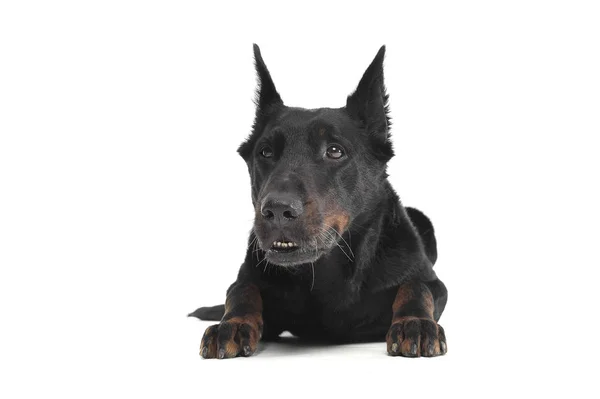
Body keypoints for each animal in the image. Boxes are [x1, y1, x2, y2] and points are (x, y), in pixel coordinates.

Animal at [190, 43, 448, 360]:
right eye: (265, 152)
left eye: (335, 151)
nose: (277, 210)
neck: (326, 270)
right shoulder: (251, 278)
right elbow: (240, 291)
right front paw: (233, 324)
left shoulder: (433, 282)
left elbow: (417, 286)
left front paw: (415, 322)